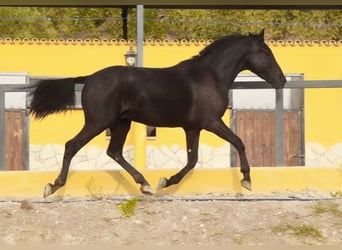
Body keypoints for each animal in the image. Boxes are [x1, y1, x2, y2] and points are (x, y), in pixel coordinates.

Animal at [30, 29, 286, 197]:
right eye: (264, 51)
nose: (281, 80)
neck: (210, 76)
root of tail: (89, 78)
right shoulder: (211, 121)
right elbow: (239, 142)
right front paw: (247, 180)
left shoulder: (192, 127)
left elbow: (192, 160)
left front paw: (166, 181)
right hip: (98, 122)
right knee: (72, 145)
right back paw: (53, 186)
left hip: (121, 123)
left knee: (114, 152)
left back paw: (145, 185)